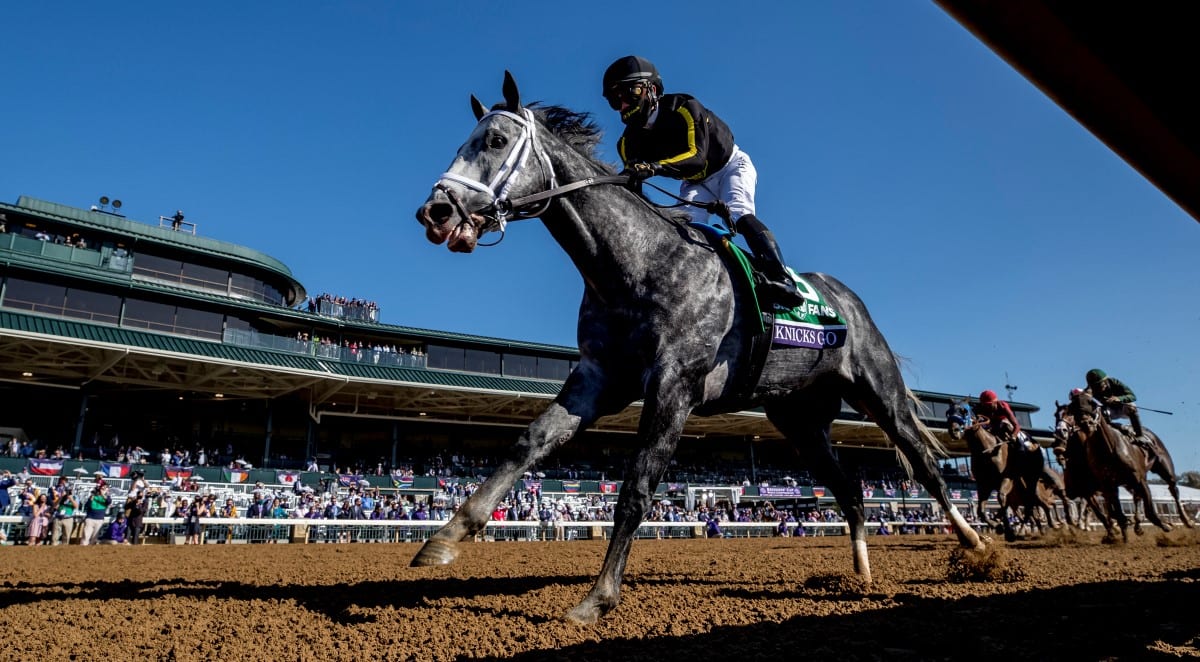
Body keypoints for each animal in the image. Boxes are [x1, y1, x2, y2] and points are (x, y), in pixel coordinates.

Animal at [412, 73, 984, 623]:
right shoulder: (597, 380)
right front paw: (442, 540)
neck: (637, 263)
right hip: (799, 420)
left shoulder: (674, 386)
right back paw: (859, 578)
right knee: (850, 490)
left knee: (925, 467)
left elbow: (636, 489)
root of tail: (848, 298)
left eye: (495, 140)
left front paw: (598, 598)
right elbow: (527, 444)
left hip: (877, 390)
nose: (434, 211)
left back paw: (978, 546)